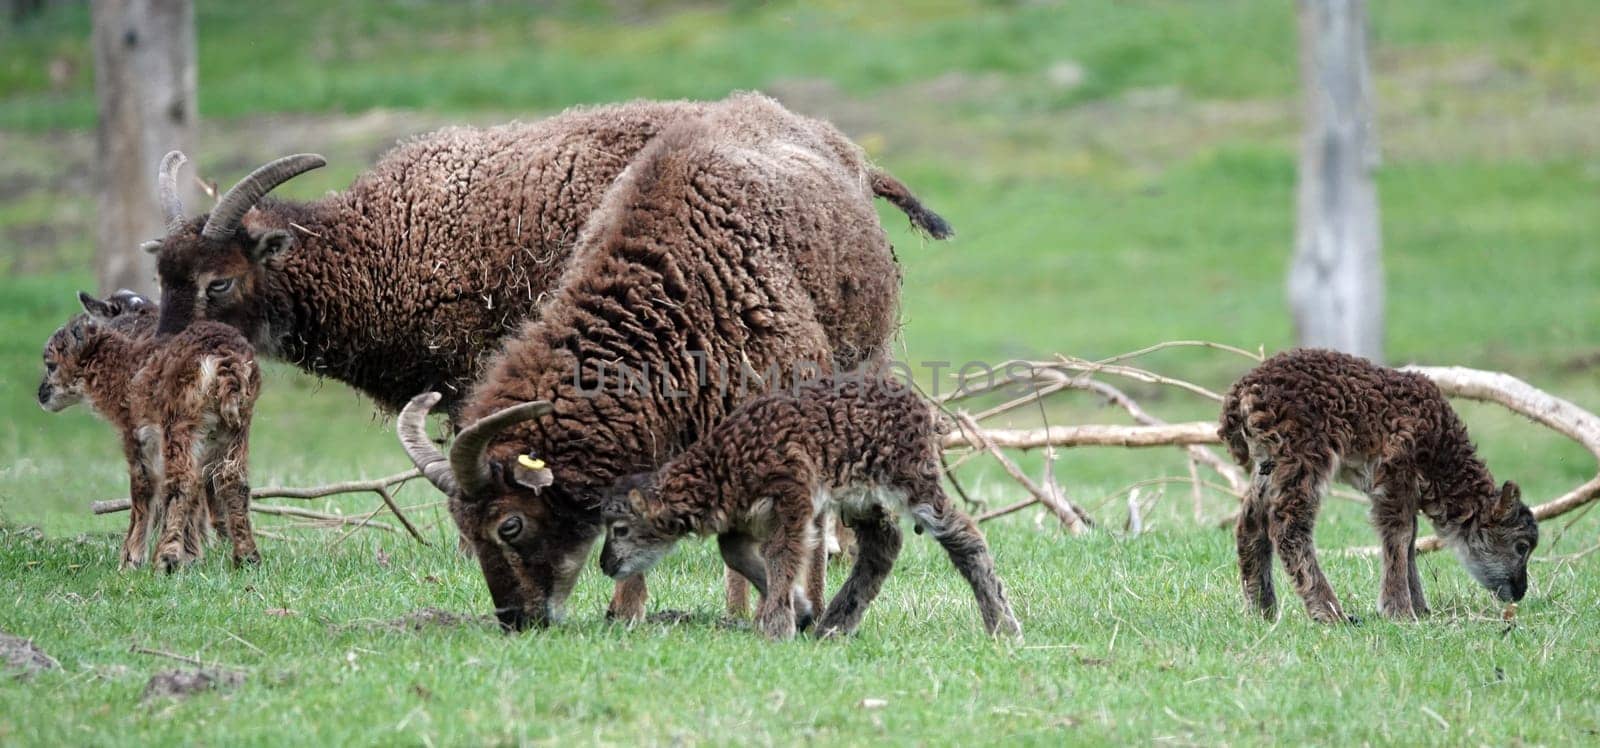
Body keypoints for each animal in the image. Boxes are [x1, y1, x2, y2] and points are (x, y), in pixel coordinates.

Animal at [39, 294, 262, 572]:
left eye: (50, 365)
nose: (41, 394)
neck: (126, 368)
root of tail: (228, 365)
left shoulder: (136, 433)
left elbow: (143, 486)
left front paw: (130, 560)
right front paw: (192, 557)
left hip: (180, 422)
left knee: (182, 481)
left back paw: (166, 559)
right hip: (236, 427)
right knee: (232, 481)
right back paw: (247, 558)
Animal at [595, 377, 1017, 639]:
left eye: (620, 529)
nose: (605, 564)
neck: (722, 466)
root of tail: (922, 409)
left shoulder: (793, 496)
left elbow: (781, 553)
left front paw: (777, 626)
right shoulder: (742, 519)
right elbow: (735, 554)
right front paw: (799, 611)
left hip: (913, 479)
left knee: (963, 534)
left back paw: (1003, 625)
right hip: (860, 495)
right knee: (883, 543)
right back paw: (835, 623)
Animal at [1222, 348, 1536, 623]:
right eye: (1521, 546)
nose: (1520, 591)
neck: (1441, 454)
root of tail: (1243, 389)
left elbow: (1410, 539)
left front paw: (1420, 609)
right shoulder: (1396, 470)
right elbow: (1399, 535)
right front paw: (1400, 611)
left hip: (1269, 461)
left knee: (1251, 522)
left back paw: (1261, 610)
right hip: (1303, 455)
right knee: (1288, 526)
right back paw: (1330, 613)